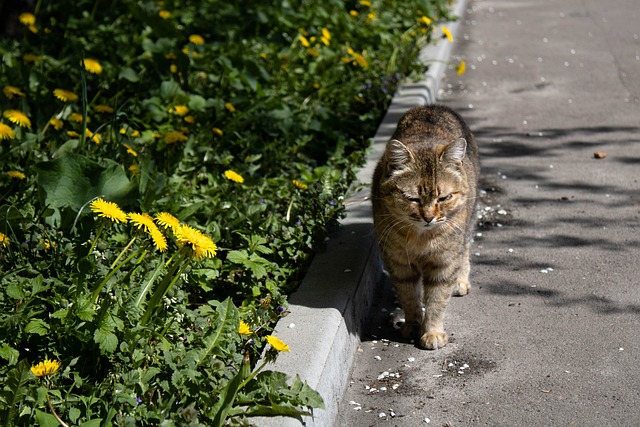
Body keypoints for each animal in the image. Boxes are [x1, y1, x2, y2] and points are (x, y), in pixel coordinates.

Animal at [370, 104, 480, 352]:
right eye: (413, 199)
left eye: (444, 197)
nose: (429, 217)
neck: (421, 237)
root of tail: (432, 106)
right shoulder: (398, 262)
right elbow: (409, 296)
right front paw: (412, 324)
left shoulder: (444, 262)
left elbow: (437, 300)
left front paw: (432, 332)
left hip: (467, 225)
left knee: (465, 251)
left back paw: (461, 281)